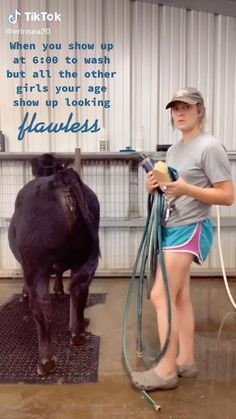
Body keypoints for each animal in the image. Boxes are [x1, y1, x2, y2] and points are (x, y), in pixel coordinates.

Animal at [8, 154, 99, 378]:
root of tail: (60, 178)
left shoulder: (26, 262)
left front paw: (23, 294)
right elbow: (58, 271)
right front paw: (58, 291)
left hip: (35, 263)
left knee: (42, 307)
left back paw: (46, 361)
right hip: (83, 257)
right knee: (79, 291)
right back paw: (76, 333)